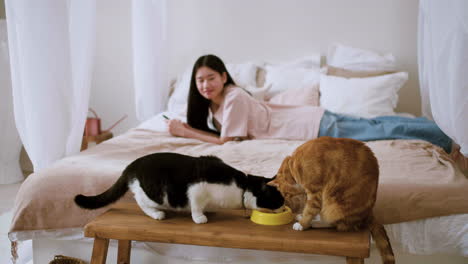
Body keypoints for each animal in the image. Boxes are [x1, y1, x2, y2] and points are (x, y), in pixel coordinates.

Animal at [75, 153, 284, 223]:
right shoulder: (196, 189)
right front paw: (199, 217)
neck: (241, 186)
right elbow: (196, 205)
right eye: (279, 200)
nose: (284, 206)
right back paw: (156, 214)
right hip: (155, 192)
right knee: (140, 201)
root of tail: (131, 165)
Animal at [266, 137, 394, 262]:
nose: (283, 206)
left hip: (335, 206)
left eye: (285, 196)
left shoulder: (315, 192)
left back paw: (314, 223)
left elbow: (310, 210)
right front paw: (302, 216)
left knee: (337, 225)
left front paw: (302, 224)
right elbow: (309, 208)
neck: (293, 165)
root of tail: (369, 212)